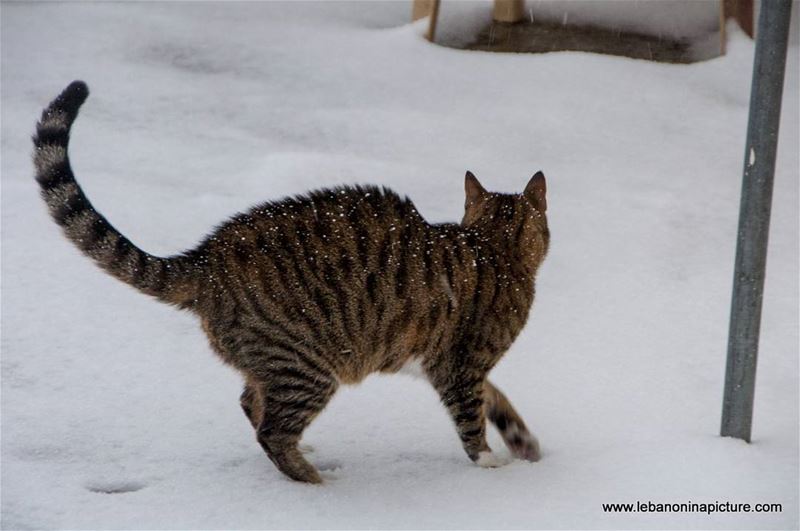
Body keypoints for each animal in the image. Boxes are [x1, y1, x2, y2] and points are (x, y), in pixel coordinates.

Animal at [31, 81, 552, 484]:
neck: (491, 246)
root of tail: (205, 259)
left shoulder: (443, 362)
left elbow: (496, 398)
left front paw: (523, 441)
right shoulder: (457, 365)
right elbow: (471, 418)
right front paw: (491, 466)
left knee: (251, 402)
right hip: (308, 363)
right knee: (272, 431)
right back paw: (312, 477)